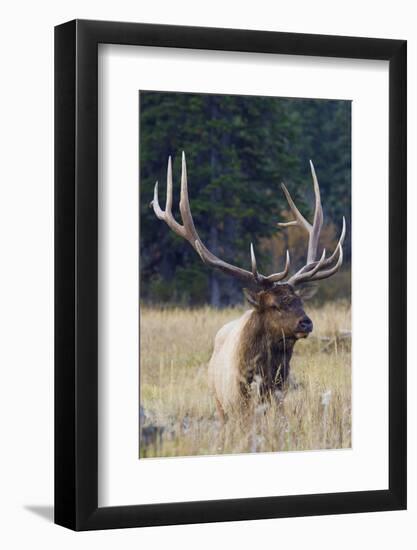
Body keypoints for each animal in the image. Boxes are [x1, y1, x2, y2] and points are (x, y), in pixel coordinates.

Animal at [150, 153, 344, 420]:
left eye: (300, 301)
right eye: (274, 305)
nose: (306, 322)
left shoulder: (279, 400)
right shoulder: (238, 407)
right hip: (219, 405)